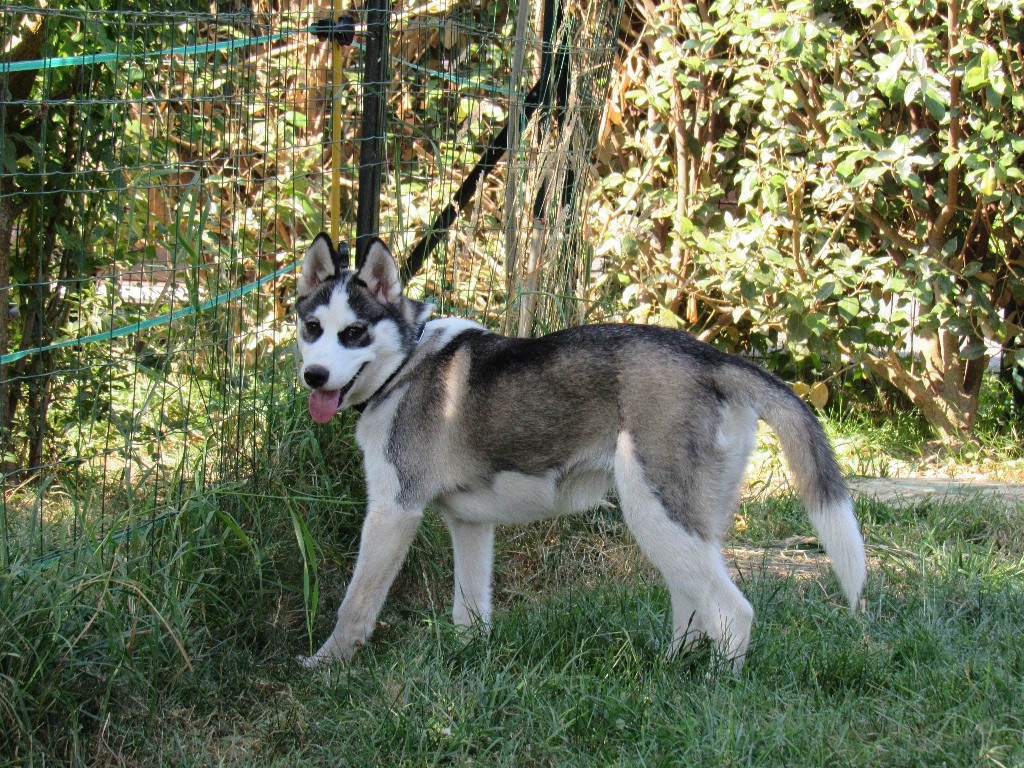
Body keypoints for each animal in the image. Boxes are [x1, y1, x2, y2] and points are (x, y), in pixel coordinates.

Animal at [296, 233, 864, 667]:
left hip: (654, 510)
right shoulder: (471, 525)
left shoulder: (393, 511)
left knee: (732, 612)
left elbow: (356, 605)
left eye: (354, 332)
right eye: (311, 328)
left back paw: (714, 690)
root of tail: (711, 358)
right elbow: (470, 610)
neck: (406, 360)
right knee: (693, 603)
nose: (314, 376)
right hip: (688, 523)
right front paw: (466, 663)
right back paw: (668, 671)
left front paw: (327, 666)